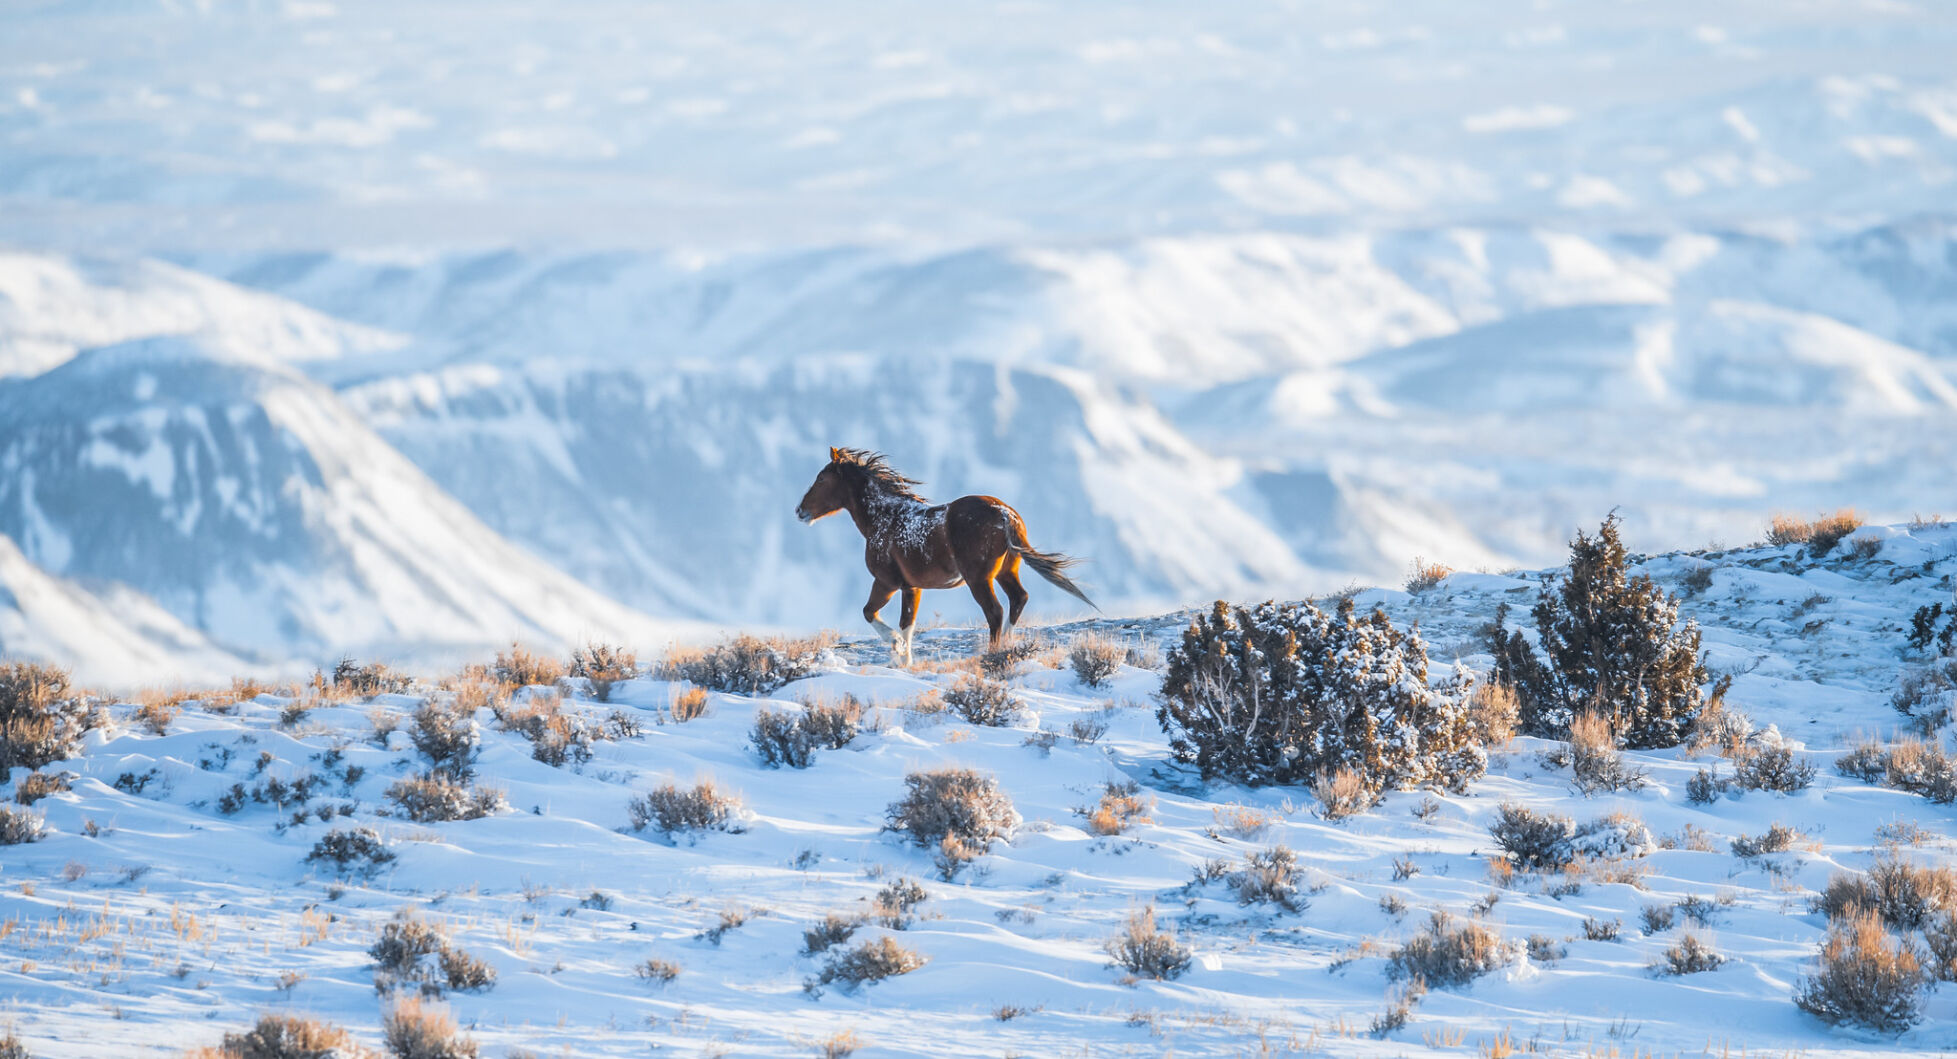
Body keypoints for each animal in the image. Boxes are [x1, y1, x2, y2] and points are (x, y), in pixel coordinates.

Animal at [795, 447, 1096, 665]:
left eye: (821, 478)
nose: (800, 510)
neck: (884, 518)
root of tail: (1005, 514)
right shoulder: (911, 587)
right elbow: (907, 624)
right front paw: (904, 662)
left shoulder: (886, 582)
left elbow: (871, 613)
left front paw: (896, 650)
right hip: (1006, 571)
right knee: (1018, 599)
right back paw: (1007, 646)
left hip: (979, 578)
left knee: (995, 611)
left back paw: (991, 654)